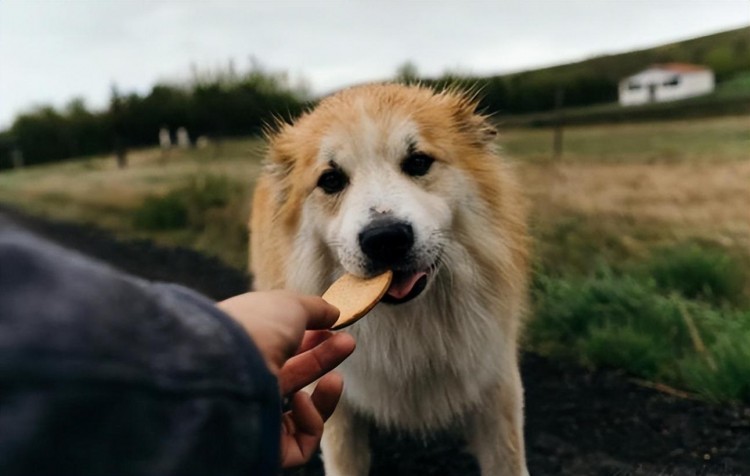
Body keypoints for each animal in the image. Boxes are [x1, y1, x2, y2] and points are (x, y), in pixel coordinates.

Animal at [250, 83, 532, 474]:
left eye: (418, 162)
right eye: (331, 180)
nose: (385, 239)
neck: (408, 325)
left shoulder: (496, 387)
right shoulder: (337, 407)